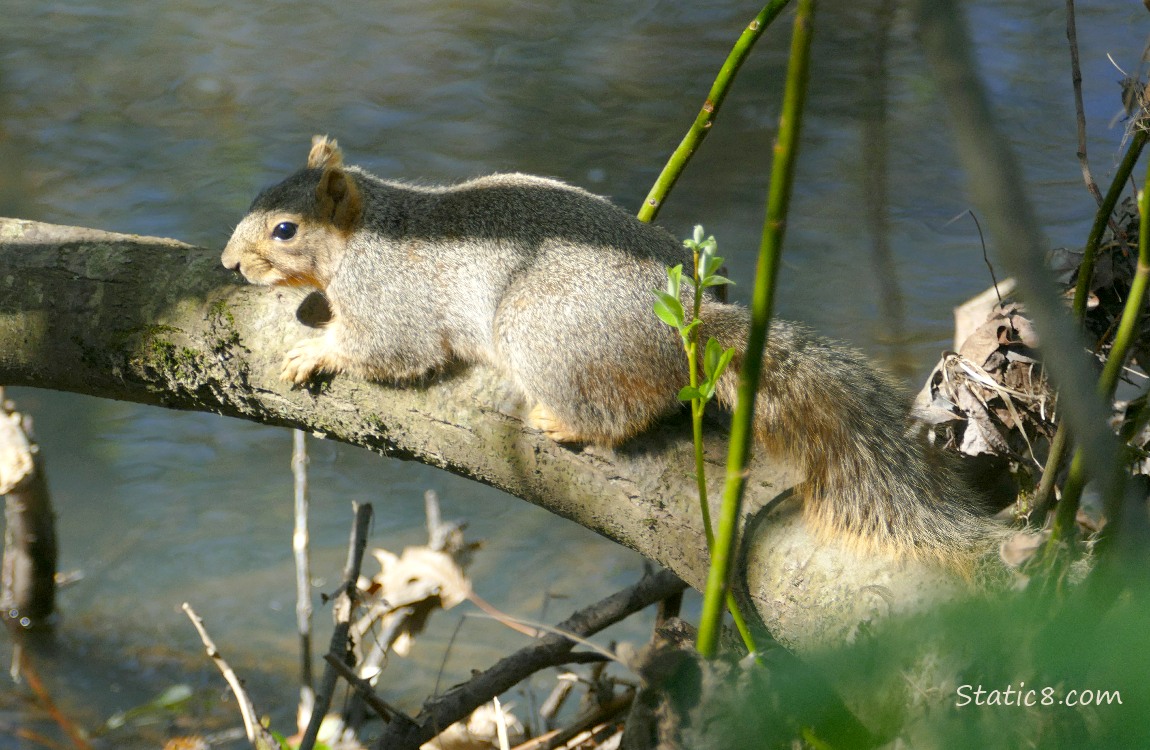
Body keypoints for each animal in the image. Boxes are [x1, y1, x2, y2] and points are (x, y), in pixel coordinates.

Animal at [222, 135, 1003, 571]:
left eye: (286, 229)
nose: (231, 264)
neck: (367, 232)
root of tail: (687, 330)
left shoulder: (392, 300)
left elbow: (385, 348)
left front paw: (317, 349)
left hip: (545, 337)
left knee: (624, 411)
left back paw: (566, 423)